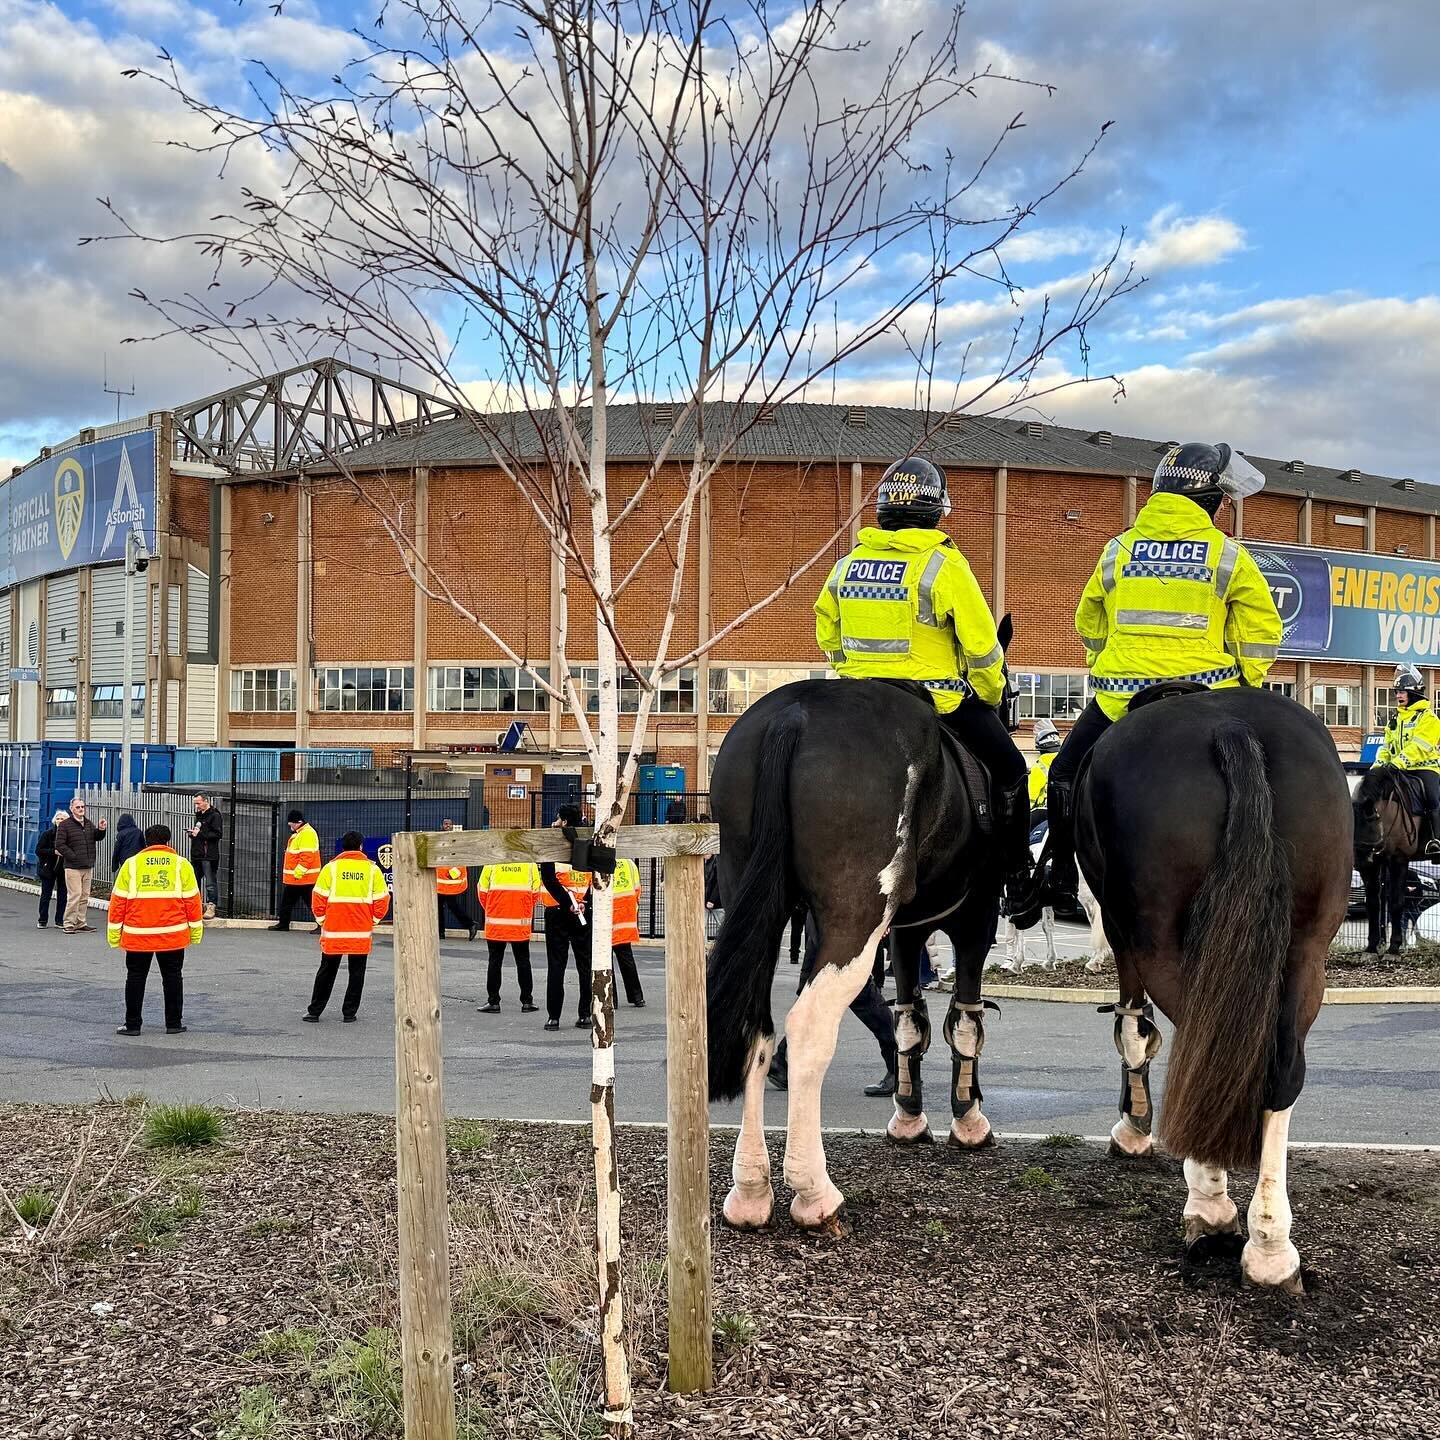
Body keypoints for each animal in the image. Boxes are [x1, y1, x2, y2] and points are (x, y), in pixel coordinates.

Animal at [1082, 685, 1347, 1296]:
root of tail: (1229, 724)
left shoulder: (1124, 935)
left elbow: (1134, 1030)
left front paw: (1134, 1128)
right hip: (1309, 948)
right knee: (1280, 1070)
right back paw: (1271, 1245)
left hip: (1160, 943)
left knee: (1204, 1041)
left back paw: (1210, 1205)